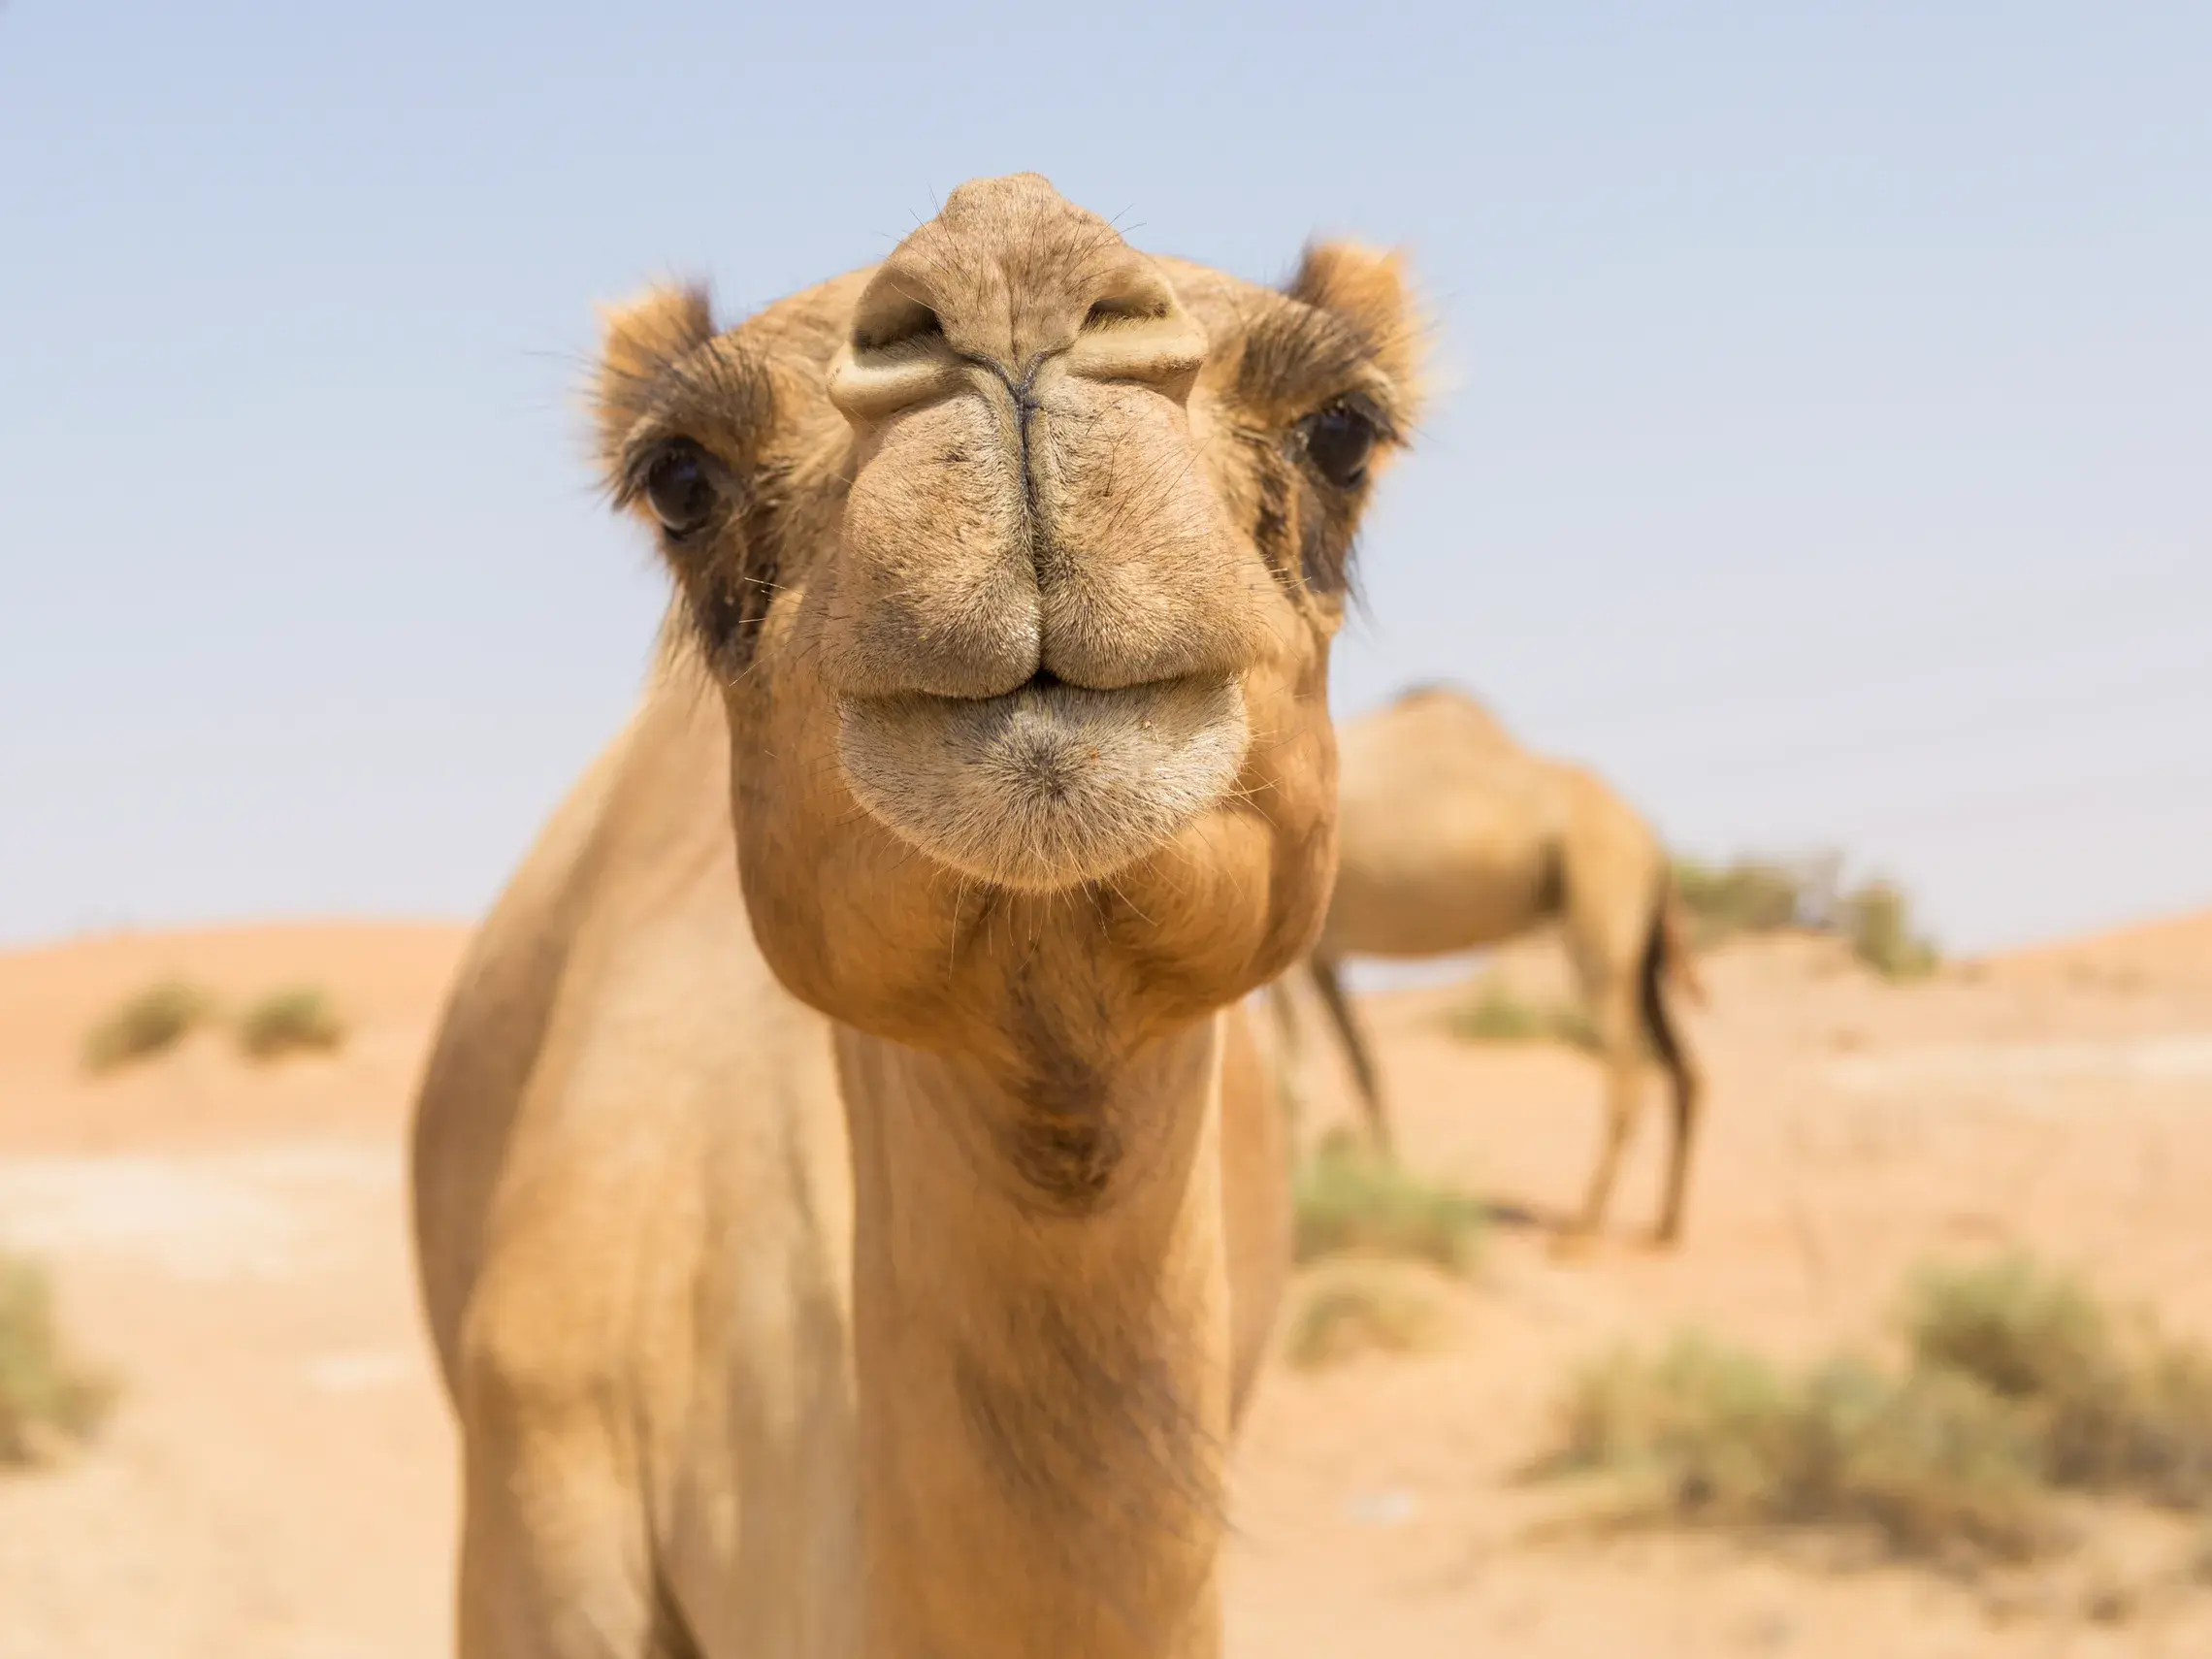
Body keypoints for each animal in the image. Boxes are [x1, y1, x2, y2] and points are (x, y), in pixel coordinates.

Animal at [1279, 685, 1705, 1244]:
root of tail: (1653, 842)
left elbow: (1293, 1079)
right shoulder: (1324, 954)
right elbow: (1362, 1066)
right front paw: (1387, 1185)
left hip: (1603, 894)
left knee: (1627, 1075)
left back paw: (1580, 1232)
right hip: (1644, 952)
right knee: (1685, 1068)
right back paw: (1665, 1227)